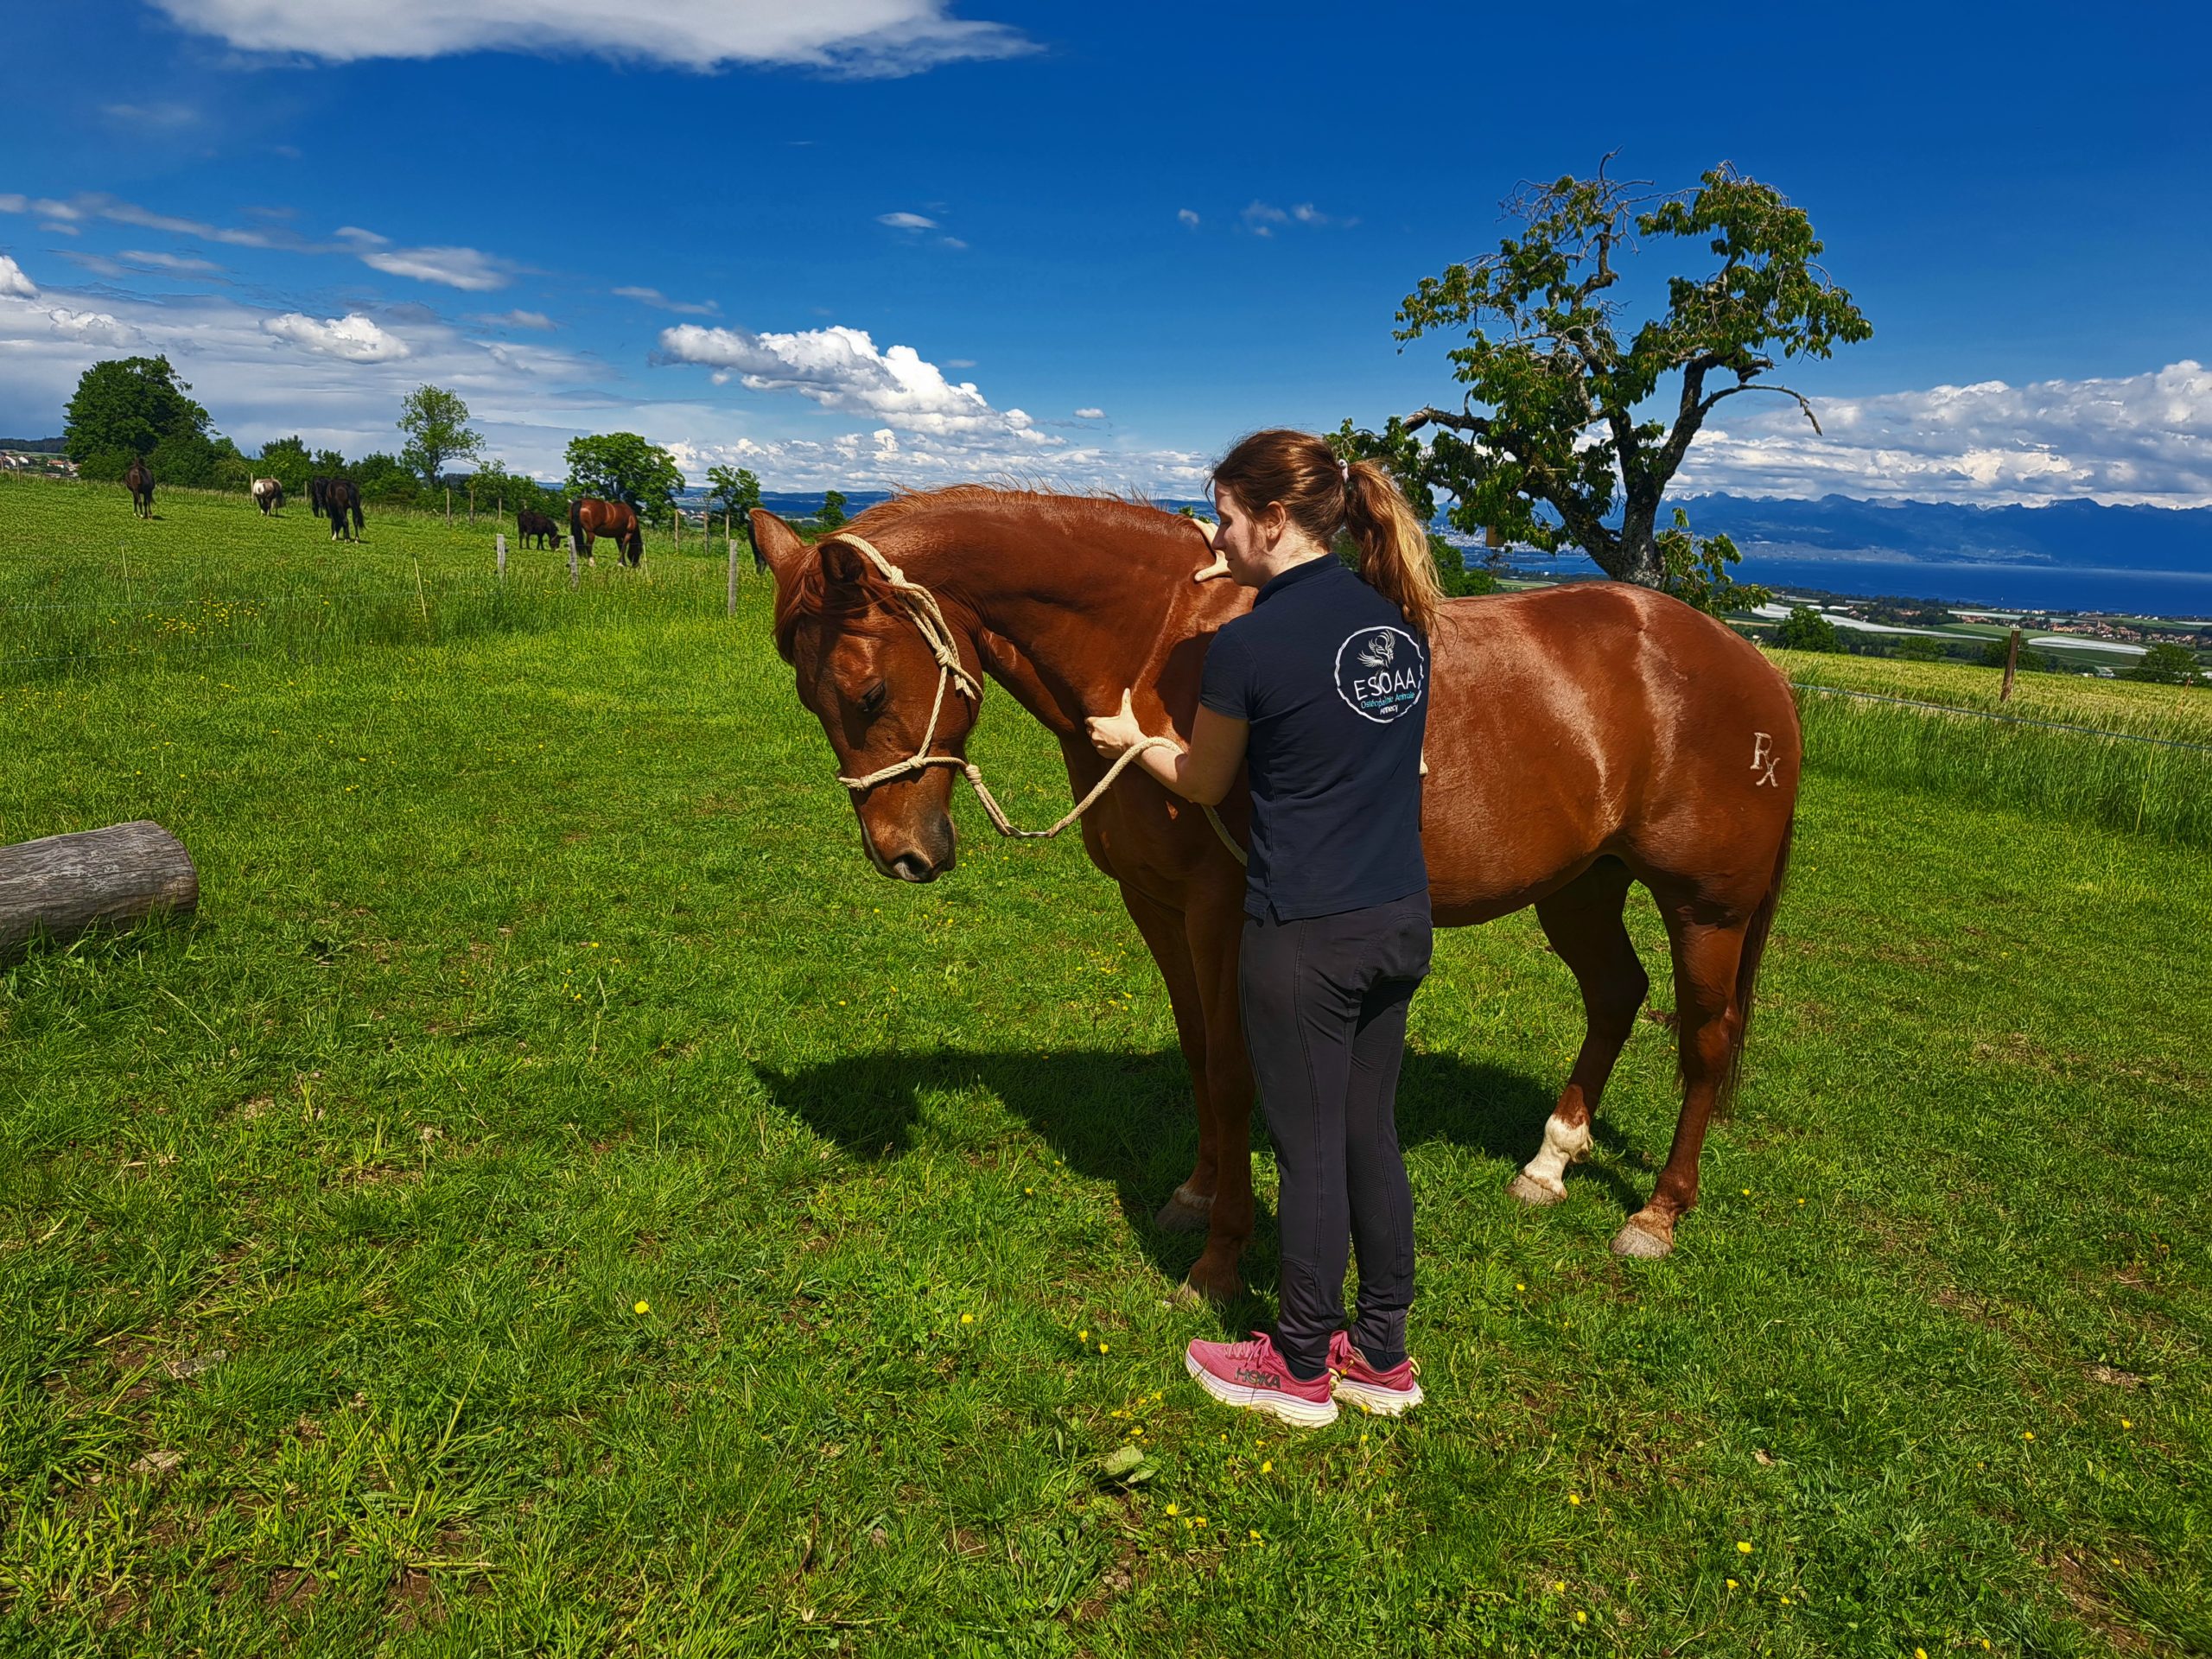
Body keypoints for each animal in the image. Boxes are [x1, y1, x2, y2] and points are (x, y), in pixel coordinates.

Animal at [756, 486, 1796, 1309]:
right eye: (808, 698)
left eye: (867, 688)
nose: (901, 856)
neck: (1154, 647)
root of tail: (1755, 670)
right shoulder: (1156, 908)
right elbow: (1196, 1057)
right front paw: (1194, 1195)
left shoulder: (1222, 916)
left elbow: (1230, 1071)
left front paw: (1219, 1262)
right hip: (1580, 887)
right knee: (1616, 995)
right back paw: (1549, 1161)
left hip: (1707, 912)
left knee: (1704, 1041)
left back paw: (1657, 1215)